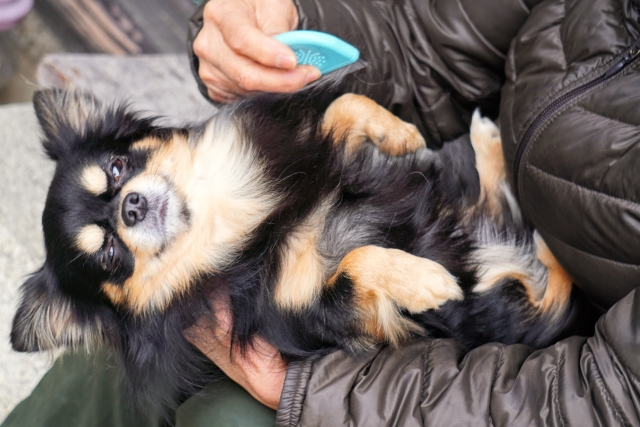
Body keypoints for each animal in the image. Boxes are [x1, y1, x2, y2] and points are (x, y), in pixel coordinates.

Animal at [11, 88, 600, 414]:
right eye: (110, 256)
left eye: (117, 168)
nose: (129, 208)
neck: (239, 224)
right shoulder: (332, 312)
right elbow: (359, 261)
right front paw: (424, 280)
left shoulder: (316, 163)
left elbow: (340, 109)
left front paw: (400, 133)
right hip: (504, 307)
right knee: (550, 283)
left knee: (501, 209)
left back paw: (487, 142)